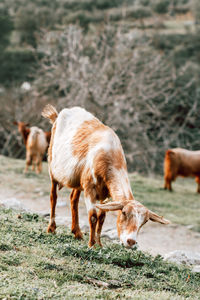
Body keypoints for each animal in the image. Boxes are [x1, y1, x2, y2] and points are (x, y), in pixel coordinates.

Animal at [42, 105, 170, 248]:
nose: (130, 241)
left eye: (145, 221)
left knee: (73, 199)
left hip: (79, 180)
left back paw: (77, 232)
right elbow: (93, 217)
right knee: (53, 197)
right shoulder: (90, 188)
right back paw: (51, 228)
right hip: (53, 168)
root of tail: (58, 115)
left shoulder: (106, 193)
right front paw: (91, 244)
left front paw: (99, 244)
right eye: (124, 213)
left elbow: (102, 217)